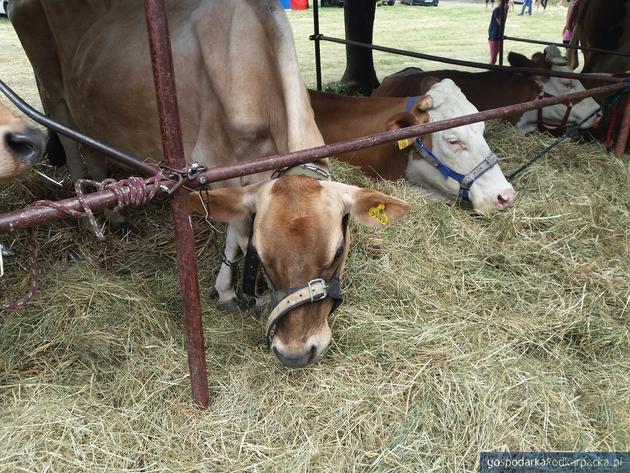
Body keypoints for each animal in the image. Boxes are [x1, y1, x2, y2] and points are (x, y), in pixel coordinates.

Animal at [12, 0, 412, 366]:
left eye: (338, 252)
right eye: (262, 255)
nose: (296, 353)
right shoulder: (214, 167)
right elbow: (235, 229)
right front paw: (227, 292)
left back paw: (116, 216)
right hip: (51, 90)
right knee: (70, 144)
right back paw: (87, 219)